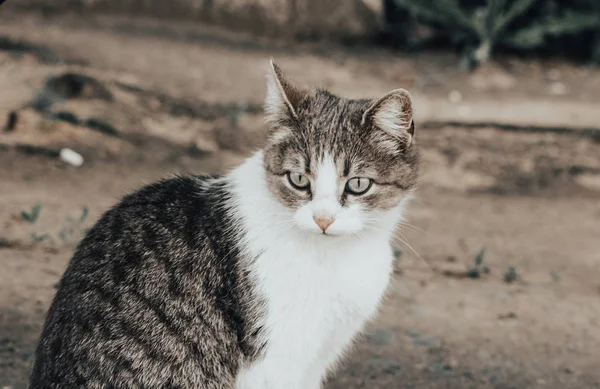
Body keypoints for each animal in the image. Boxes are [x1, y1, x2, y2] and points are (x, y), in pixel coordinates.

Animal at [30, 60, 420, 388]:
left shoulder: (319, 356)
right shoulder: (276, 358)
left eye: (358, 184)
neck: (338, 253)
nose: (322, 218)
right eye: (298, 179)